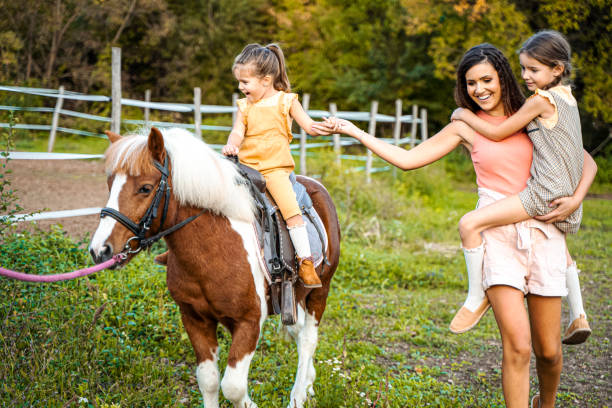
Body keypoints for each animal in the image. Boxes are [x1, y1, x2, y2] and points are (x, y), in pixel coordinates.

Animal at [89, 127, 342, 408]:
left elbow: (232, 386)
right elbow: (208, 380)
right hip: (294, 295)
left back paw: (297, 396)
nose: (100, 250)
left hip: (320, 291)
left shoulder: (249, 322)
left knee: (308, 340)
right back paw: (308, 382)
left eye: (145, 188)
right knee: (297, 332)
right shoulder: (194, 319)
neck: (211, 251)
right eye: (110, 185)